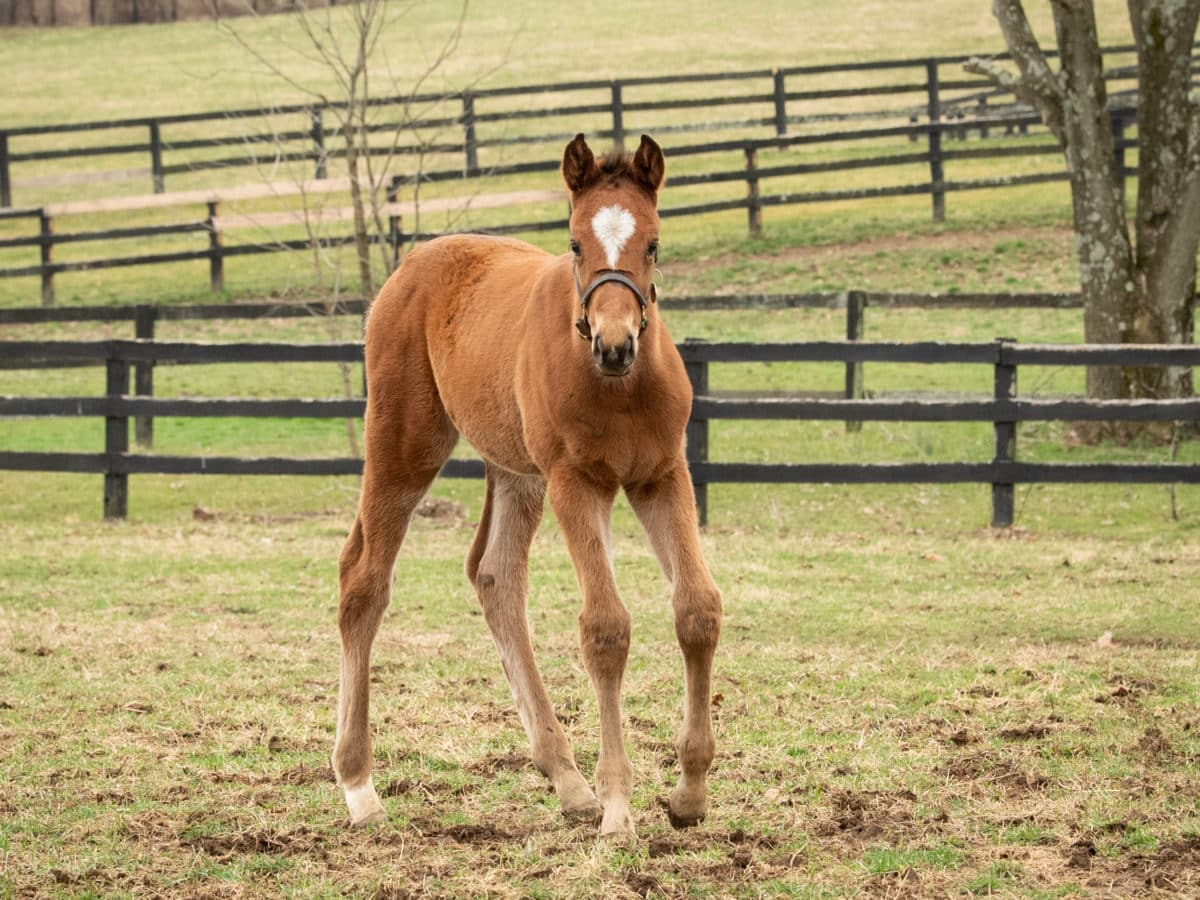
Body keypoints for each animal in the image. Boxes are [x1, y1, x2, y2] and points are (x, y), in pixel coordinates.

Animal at [328, 133, 720, 844]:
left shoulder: (661, 476)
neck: (618, 388)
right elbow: (606, 629)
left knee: (495, 575)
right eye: (574, 243)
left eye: (653, 242)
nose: (615, 345)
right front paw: (618, 809)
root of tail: (412, 263)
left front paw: (688, 795)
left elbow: (697, 611)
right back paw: (360, 787)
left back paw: (566, 779)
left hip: (515, 471)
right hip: (406, 446)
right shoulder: (577, 483)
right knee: (363, 581)